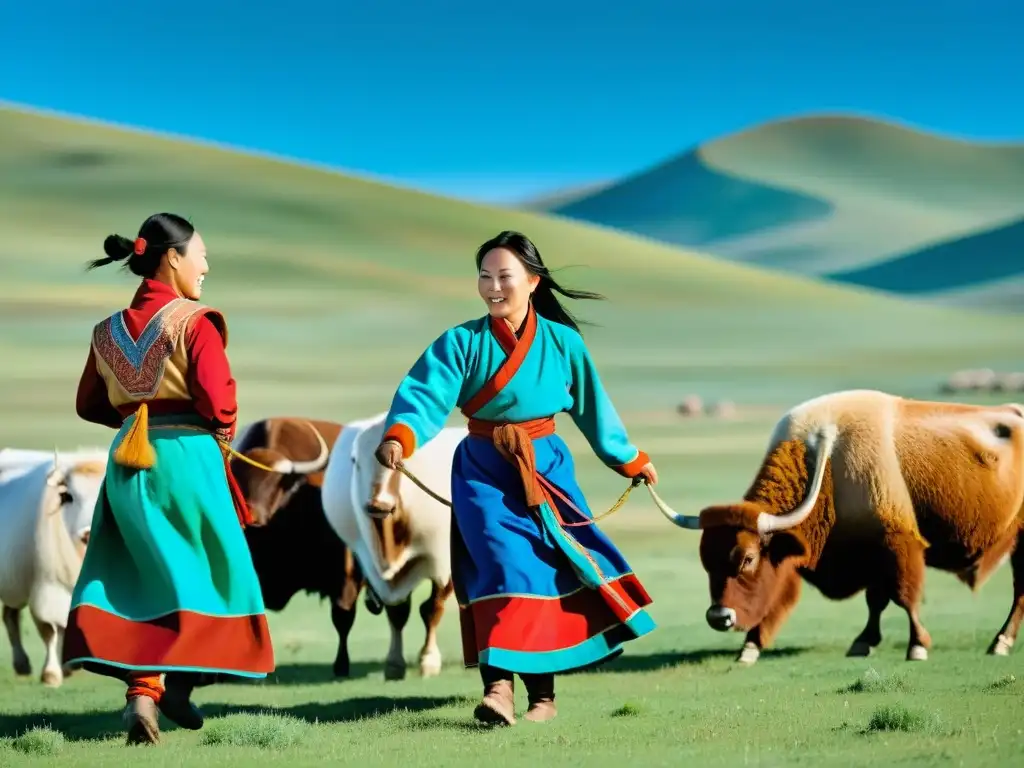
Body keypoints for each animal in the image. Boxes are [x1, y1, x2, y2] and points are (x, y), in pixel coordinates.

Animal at [0, 450, 105, 684]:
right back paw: (22, 664)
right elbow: (49, 630)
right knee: (11, 617)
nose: (88, 533)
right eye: (68, 497)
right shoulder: (47, 588)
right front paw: (51, 674)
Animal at [321, 415, 466, 679]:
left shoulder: (442, 564)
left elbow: (432, 609)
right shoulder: (373, 568)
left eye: (400, 464)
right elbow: (398, 613)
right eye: (355, 461)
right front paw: (395, 664)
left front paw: (429, 660)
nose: (378, 505)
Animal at [655, 391, 1024, 667]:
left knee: (1019, 591)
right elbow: (871, 601)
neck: (830, 467)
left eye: (748, 558)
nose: (719, 617)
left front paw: (917, 647)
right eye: (706, 561)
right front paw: (751, 648)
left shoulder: (899, 547)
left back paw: (1000, 643)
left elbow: (904, 596)